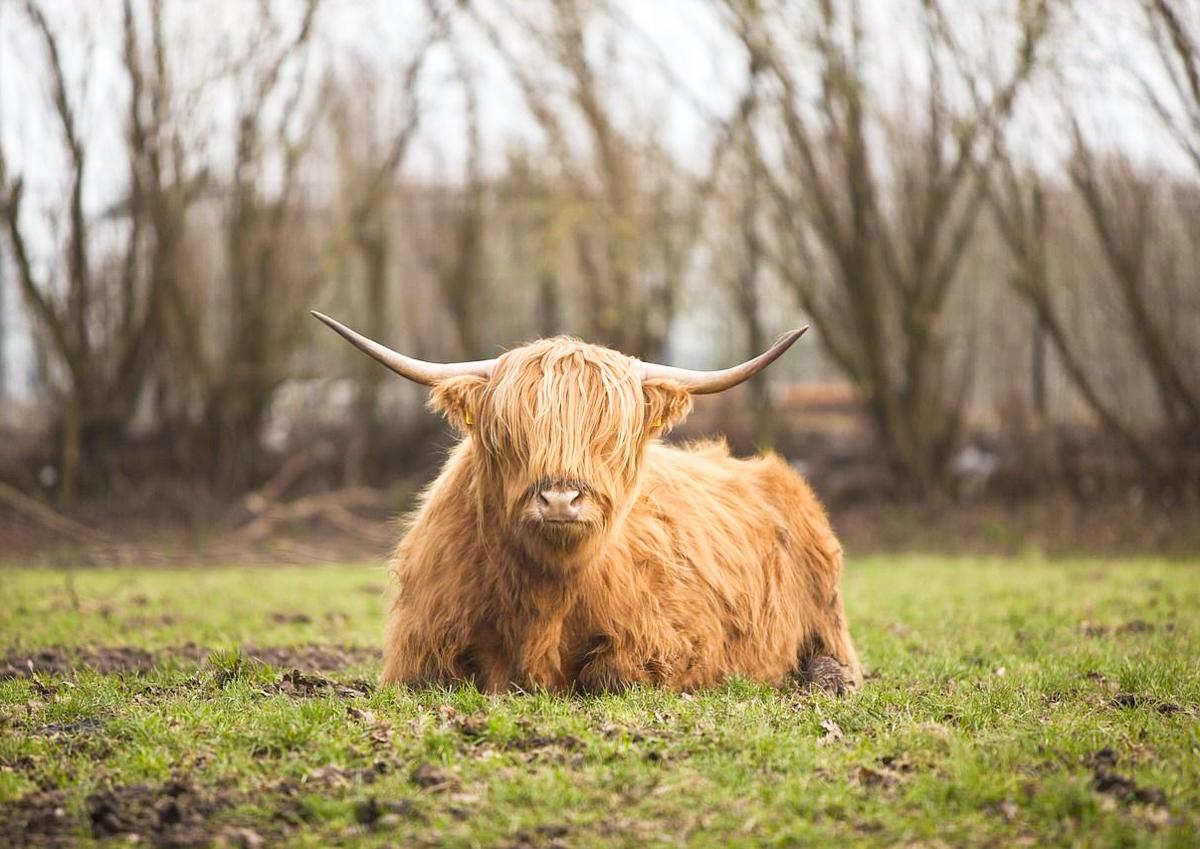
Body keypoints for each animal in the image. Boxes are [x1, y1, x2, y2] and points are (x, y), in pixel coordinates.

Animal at [312, 314, 864, 695]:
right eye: (509, 431)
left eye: (612, 435)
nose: (561, 497)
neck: (545, 594)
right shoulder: (420, 651)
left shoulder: (676, 645)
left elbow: (610, 675)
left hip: (828, 617)